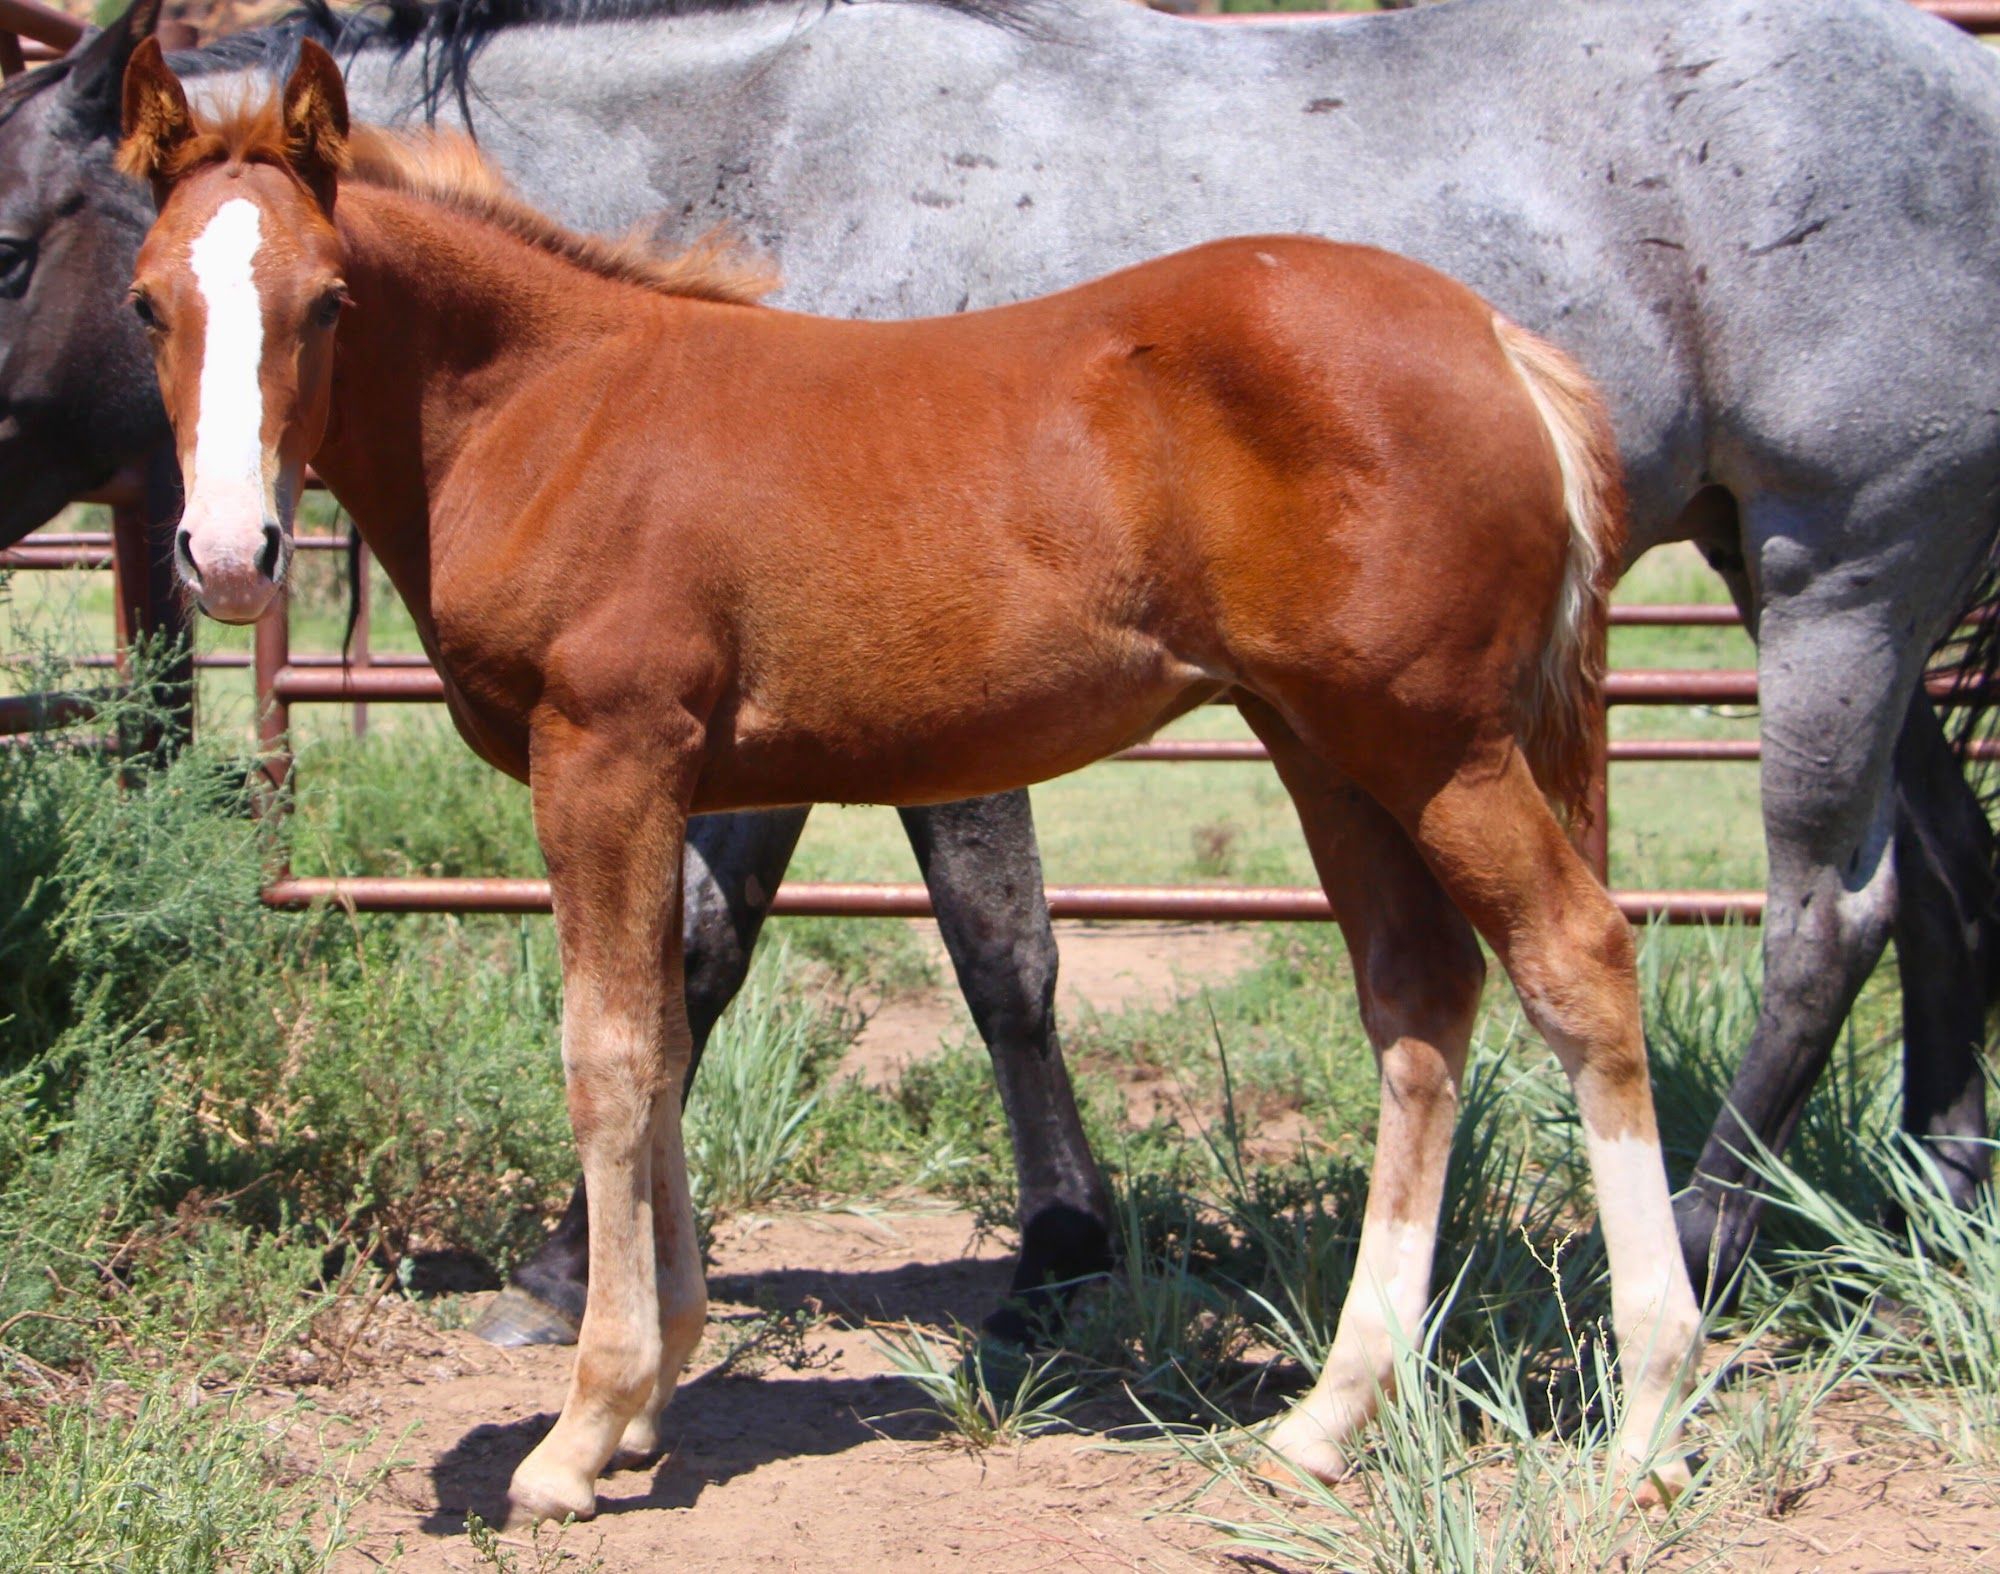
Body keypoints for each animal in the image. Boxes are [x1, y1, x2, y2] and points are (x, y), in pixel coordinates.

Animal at [12, 0, 2000, 1316]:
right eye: (146, 294)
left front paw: (1046, 1244)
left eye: (25, 240)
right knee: (1951, 871)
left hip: (1841, 573)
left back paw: (1713, 1234)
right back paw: (1939, 1187)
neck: (758, 156)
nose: (216, 547)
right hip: (1822, 577)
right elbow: (740, 948)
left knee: (1831, 907)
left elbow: (969, 950)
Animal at [120, 37, 1702, 1524]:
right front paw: (652, 1389)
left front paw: (582, 1427)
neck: (551, 407)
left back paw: (1649, 1422)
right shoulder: (674, 778)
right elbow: (672, 1023)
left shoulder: (604, 756)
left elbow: (609, 1052)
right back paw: (1324, 1419)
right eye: (148, 303)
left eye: (329, 300)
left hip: (1434, 741)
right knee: (1419, 998)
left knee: (1574, 957)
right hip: (1323, 738)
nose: (230, 555)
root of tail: (1498, 339)